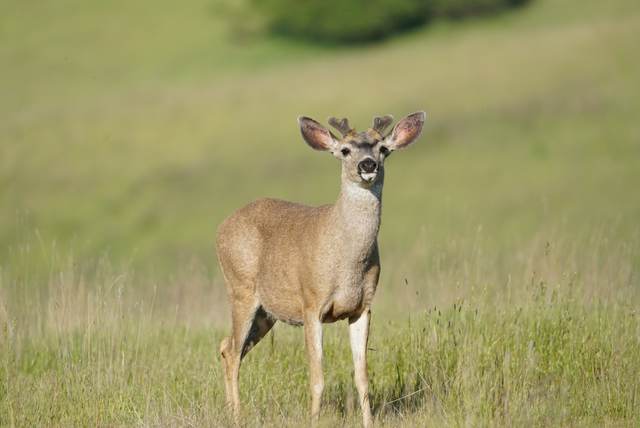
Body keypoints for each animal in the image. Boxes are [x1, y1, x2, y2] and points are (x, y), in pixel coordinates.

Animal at [216, 111, 426, 427]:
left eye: (383, 148)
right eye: (345, 150)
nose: (368, 165)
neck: (347, 262)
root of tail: (220, 230)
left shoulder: (362, 307)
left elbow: (362, 377)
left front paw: (369, 422)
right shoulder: (311, 303)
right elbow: (317, 377)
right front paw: (313, 419)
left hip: (267, 312)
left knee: (229, 348)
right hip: (241, 289)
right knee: (232, 350)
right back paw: (237, 416)